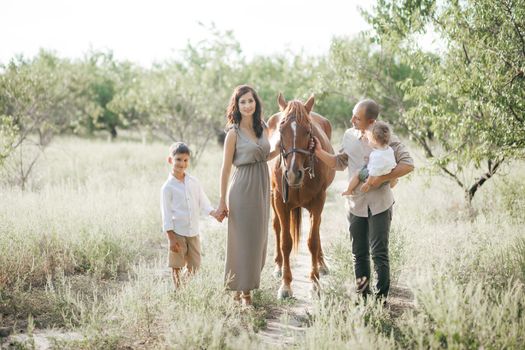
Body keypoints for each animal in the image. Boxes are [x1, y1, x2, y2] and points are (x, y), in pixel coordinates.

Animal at [268, 93, 334, 298]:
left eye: (308, 130)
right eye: (281, 129)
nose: (292, 174)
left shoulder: (319, 201)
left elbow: (313, 241)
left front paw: (315, 283)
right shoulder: (280, 202)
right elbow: (285, 242)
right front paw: (285, 285)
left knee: (317, 230)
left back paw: (322, 264)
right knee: (276, 227)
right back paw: (278, 266)